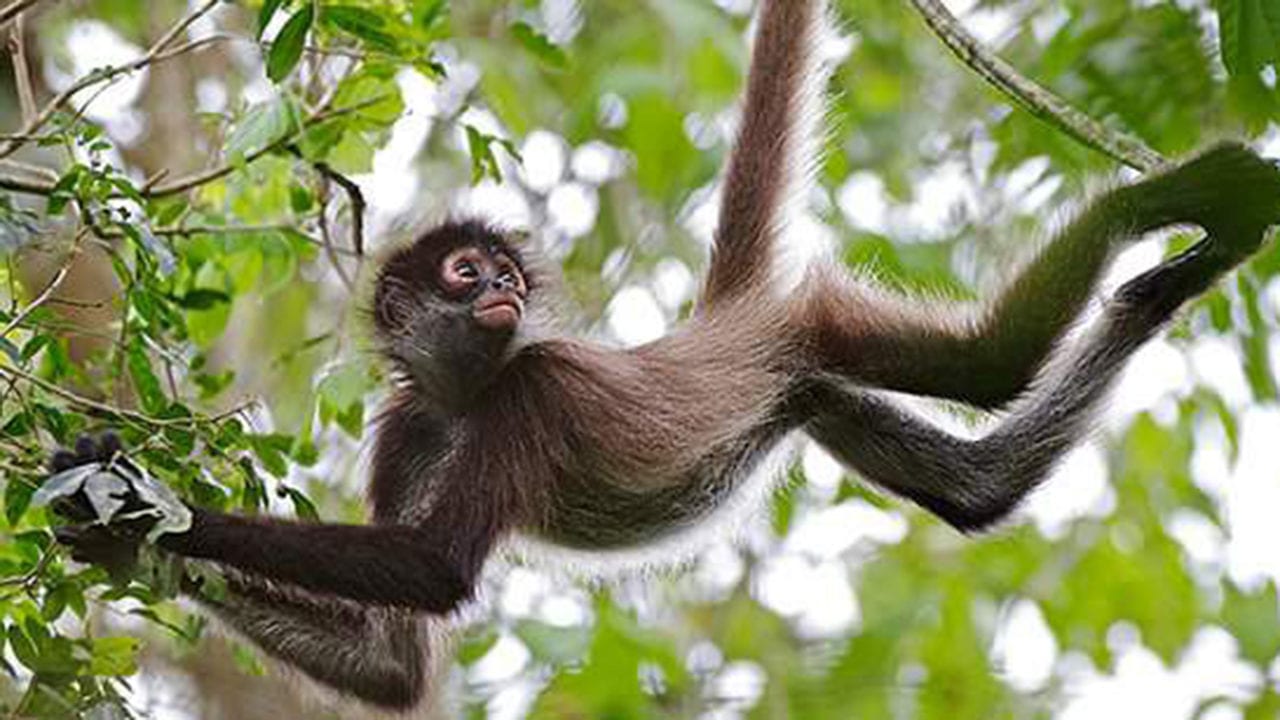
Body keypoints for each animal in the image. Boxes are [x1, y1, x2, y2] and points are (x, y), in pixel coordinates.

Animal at [44, 0, 1280, 711]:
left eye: (499, 271)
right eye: (464, 274)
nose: (502, 287)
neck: (468, 390)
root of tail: (718, 325)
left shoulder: (532, 384)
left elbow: (433, 570)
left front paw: (134, 503)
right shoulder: (407, 429)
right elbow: (393, 670)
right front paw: (115, 545)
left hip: (814, 324)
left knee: (995, 363)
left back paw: (1160, 206)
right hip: (801, 383)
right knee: (975, 486)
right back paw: (1156, 285)